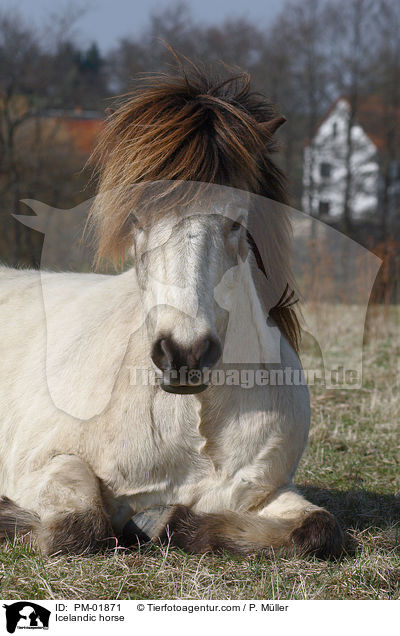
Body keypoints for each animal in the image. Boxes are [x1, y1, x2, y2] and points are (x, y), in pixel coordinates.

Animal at [0, 60, 344, 556]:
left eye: (236, 222)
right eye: (136, 221)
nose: (184, 354)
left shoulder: (263, 493)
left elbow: (316, 529)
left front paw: (165, 521)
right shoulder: (42, 463)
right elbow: (78, 525)